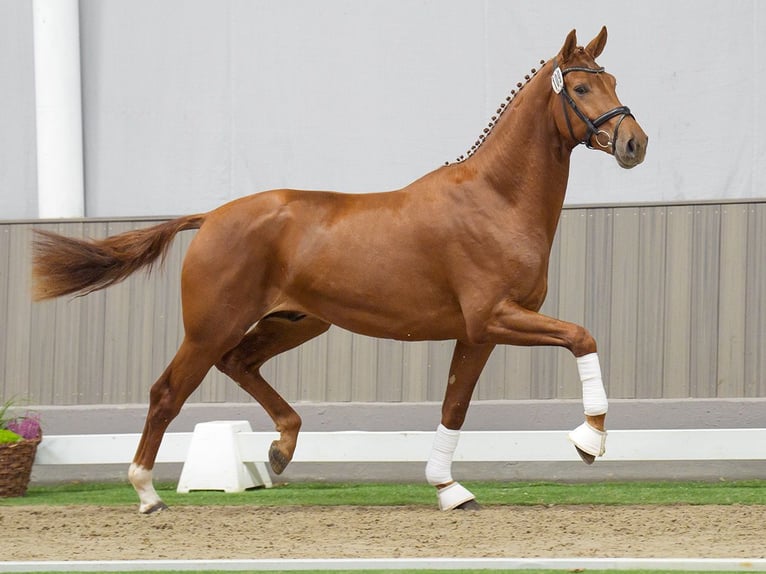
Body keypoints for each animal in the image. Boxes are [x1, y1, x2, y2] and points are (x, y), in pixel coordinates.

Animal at [34, 27, 648, 516]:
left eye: (614, 79)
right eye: (581, 88)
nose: (634, 143)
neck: (495, 199)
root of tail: (212, 216)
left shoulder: (477, 334)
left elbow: (454, 406)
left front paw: (449, 490)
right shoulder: (496, 318)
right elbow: (581, 337)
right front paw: (589, 441)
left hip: (297, 322)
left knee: (240, 364)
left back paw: (280, 450)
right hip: (211, 328)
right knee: (167, 393)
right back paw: (147, 493)